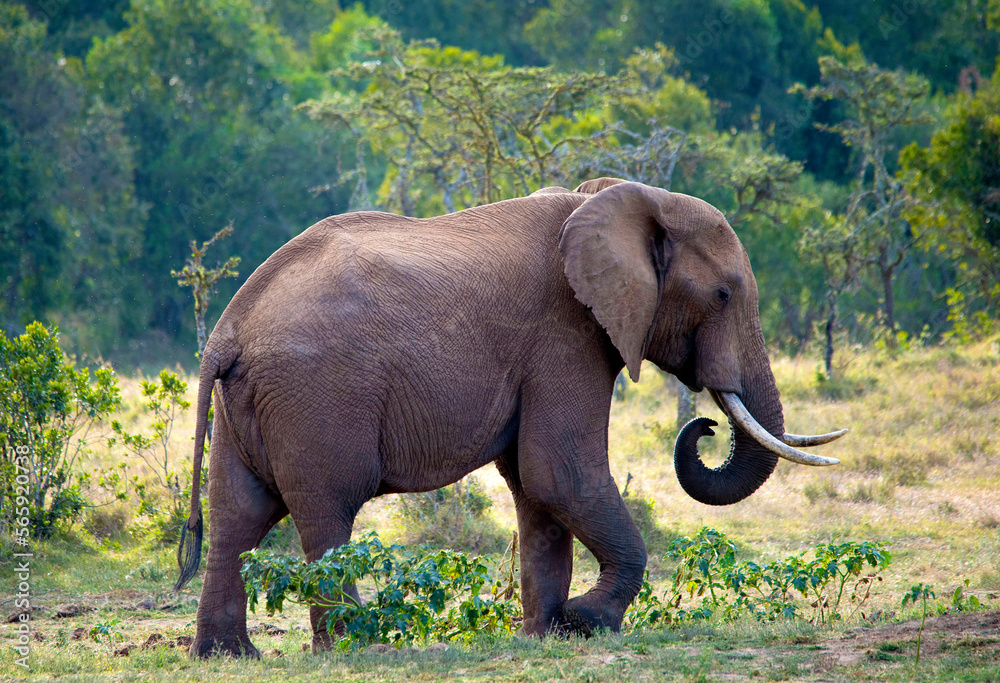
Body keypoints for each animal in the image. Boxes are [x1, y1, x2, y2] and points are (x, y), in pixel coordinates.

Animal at [175, 177, 844, 658]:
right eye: (725, 295)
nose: (705, 427)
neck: (613, 198)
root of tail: (226, 331)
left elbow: (535, 487)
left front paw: (546, 634)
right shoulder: (566, 337)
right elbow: (561, 475)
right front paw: (586, 622)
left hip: (251, 407)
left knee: (239, 513)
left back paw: (227, 657)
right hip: (316, 397)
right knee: (325, 510)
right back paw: (355, 648)